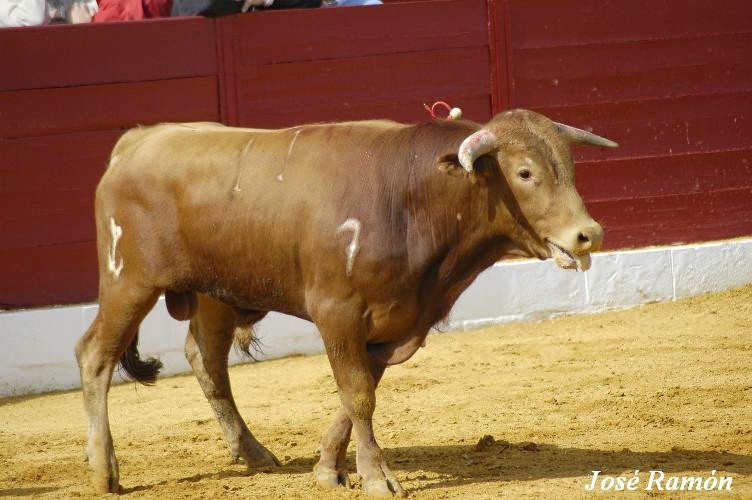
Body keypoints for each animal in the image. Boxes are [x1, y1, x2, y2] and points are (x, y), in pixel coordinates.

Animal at [76, 109, 616, 496]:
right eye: (524, 172)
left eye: (568, 167)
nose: (588, 234)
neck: (409, 196)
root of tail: (138, 141)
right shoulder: (337, 313)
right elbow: (357, 393)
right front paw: (376, 476)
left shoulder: (395, 321)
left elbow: (357, 392)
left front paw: (327, 467)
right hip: (129, 281)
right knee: (95, 355)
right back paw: (105, 471)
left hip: (214, 293)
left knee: (206, 360)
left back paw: (253, 453)